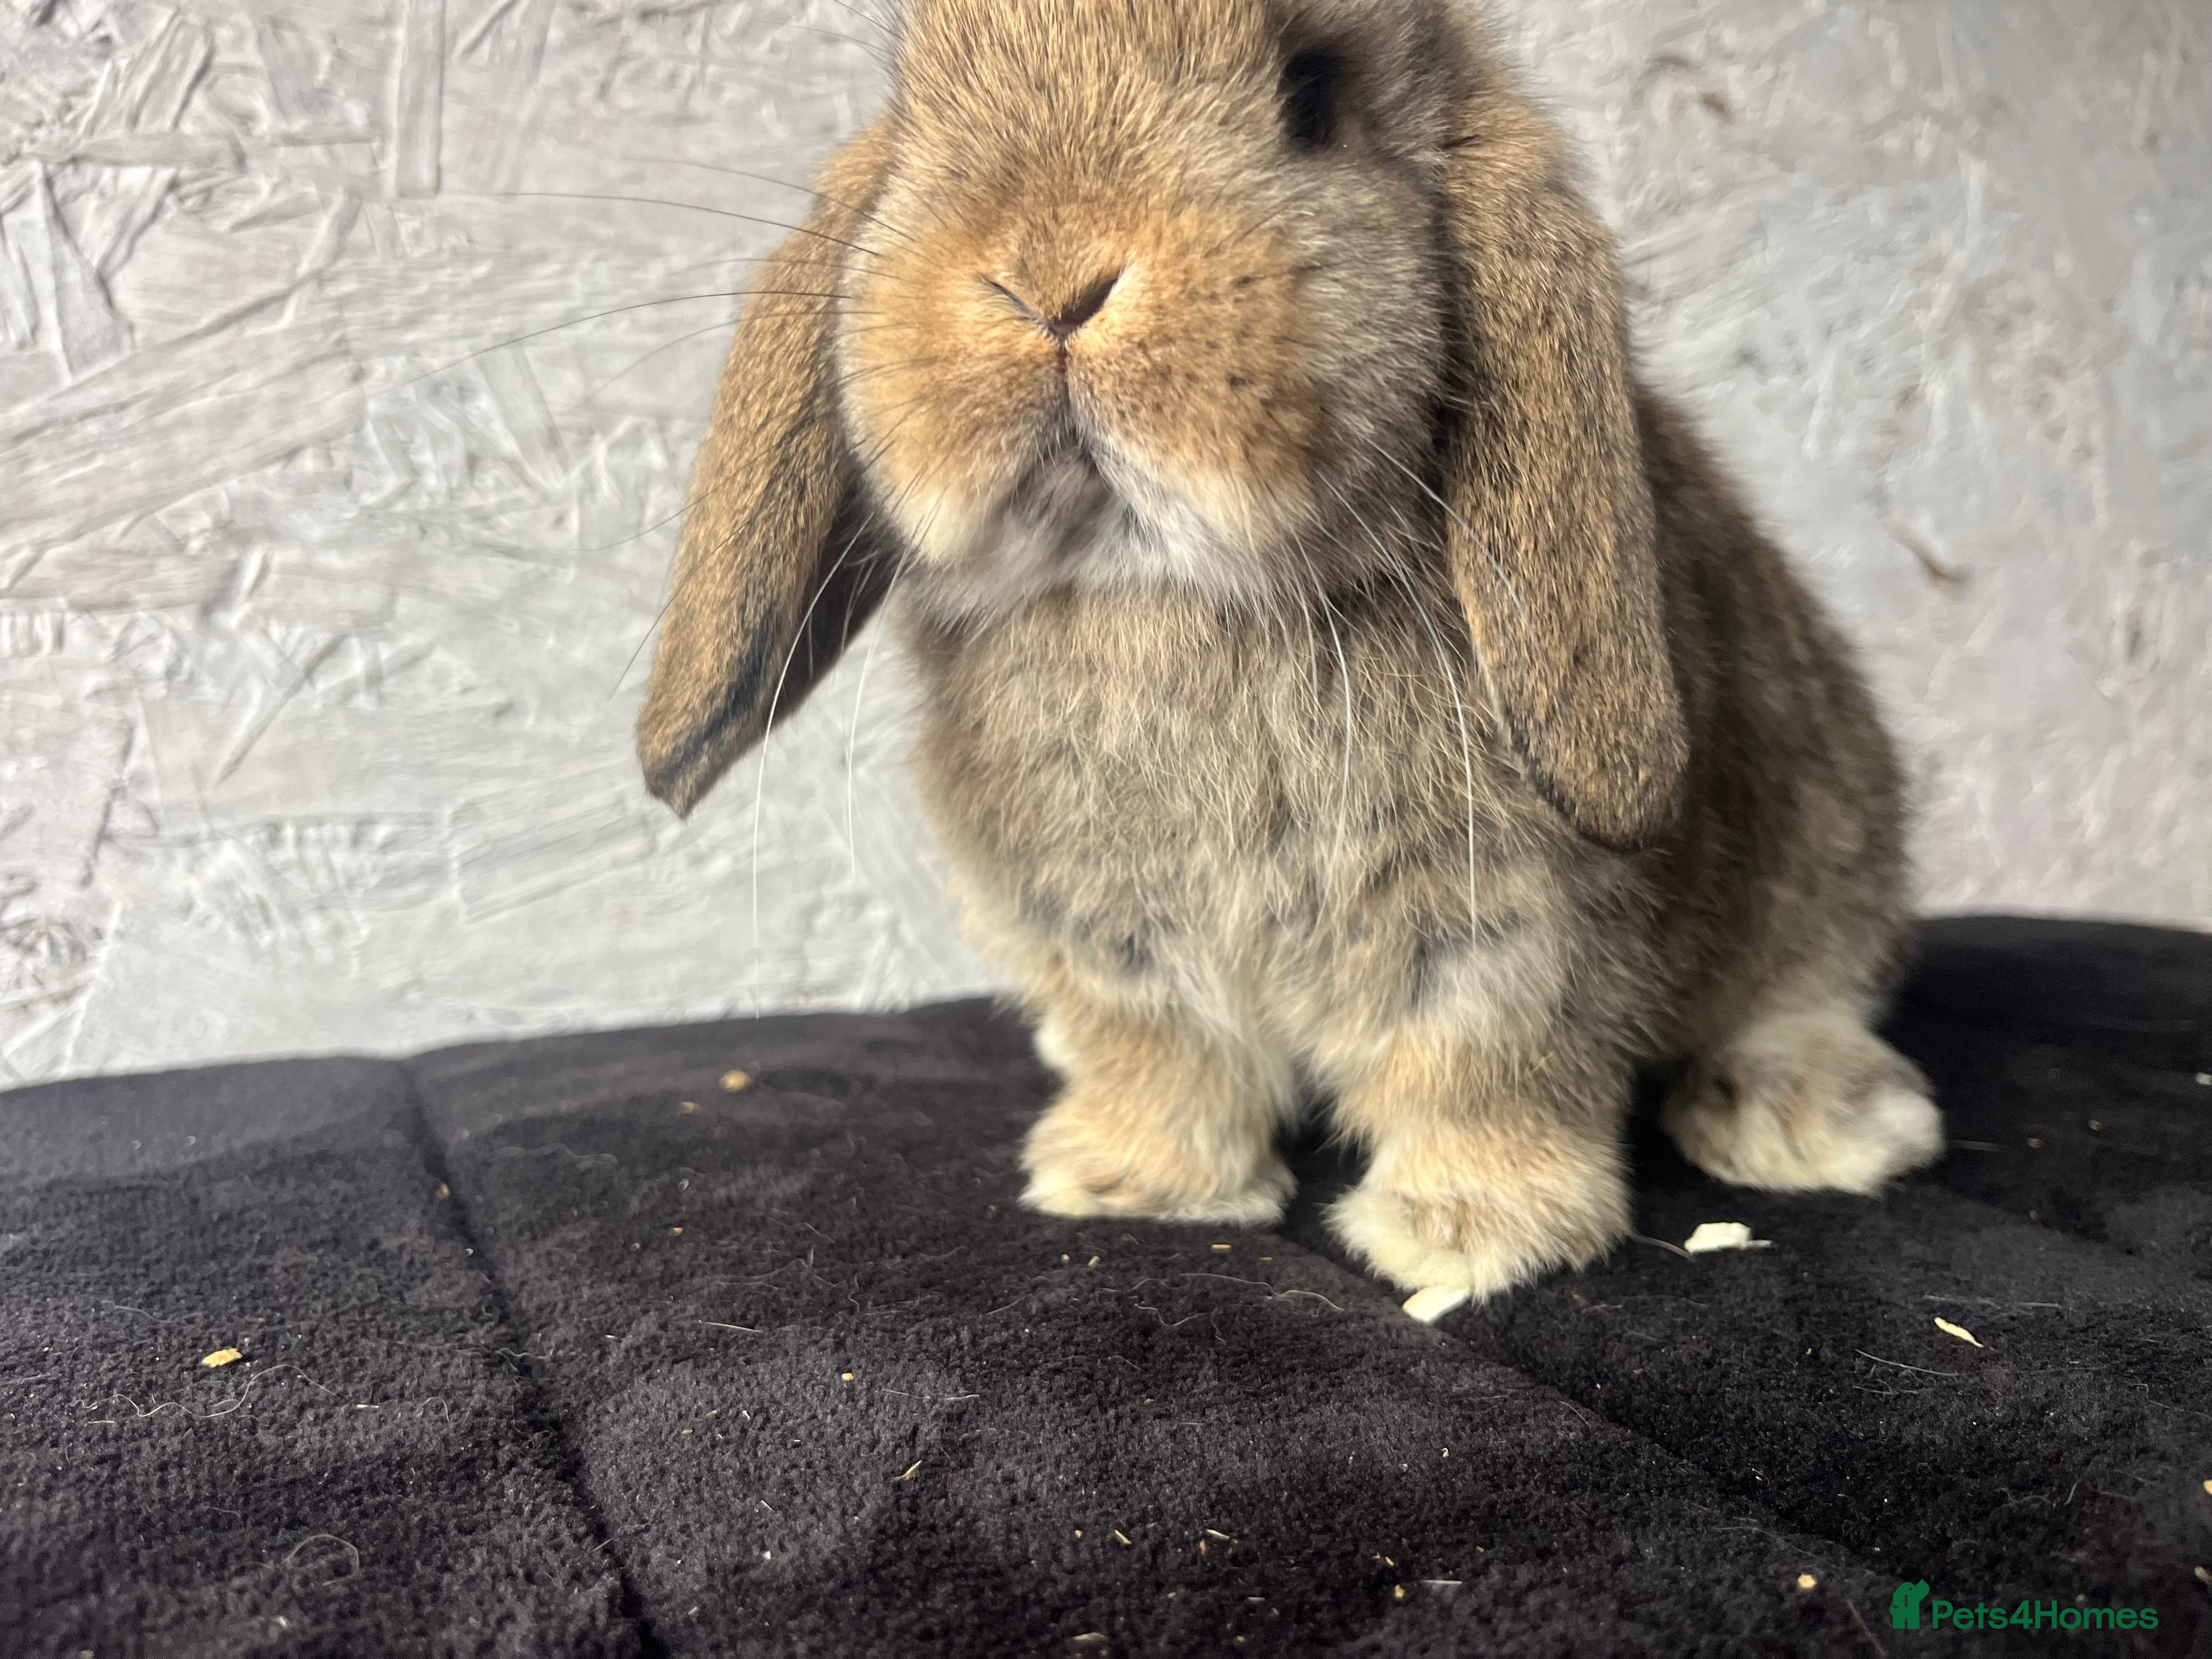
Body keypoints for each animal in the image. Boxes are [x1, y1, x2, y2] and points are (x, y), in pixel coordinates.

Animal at [636, 0, 1946, 1300]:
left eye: (1314, 94)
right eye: (915, 114)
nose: (1051, 278)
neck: (1163, 591)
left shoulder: (1510, 931)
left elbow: (1483, 1068)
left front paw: (1467, 1232)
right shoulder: (1112, 943)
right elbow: (1163, 1059)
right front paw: (1128, 1183)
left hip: (1835, 839)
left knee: (1814, 985)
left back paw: (1810, 1120)